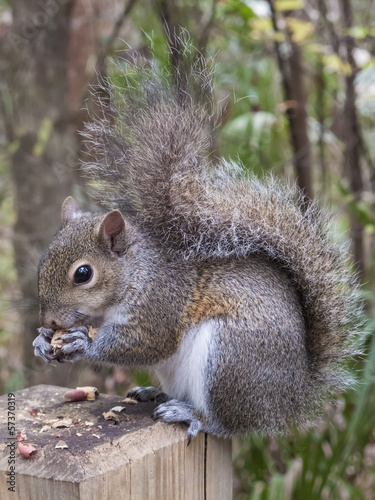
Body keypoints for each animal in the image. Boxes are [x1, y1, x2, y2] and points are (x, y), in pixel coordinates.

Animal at [33, 45, 362, 440]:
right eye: (43, 262)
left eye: (83, 274)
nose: (50, 321)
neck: (135, 270)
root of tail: (288, 401)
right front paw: (41, 342)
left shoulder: (161, 301)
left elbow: (146, 341)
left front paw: (83, 342)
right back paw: (154, 392)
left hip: (230, 358)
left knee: (229, 424)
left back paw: (194, 415)